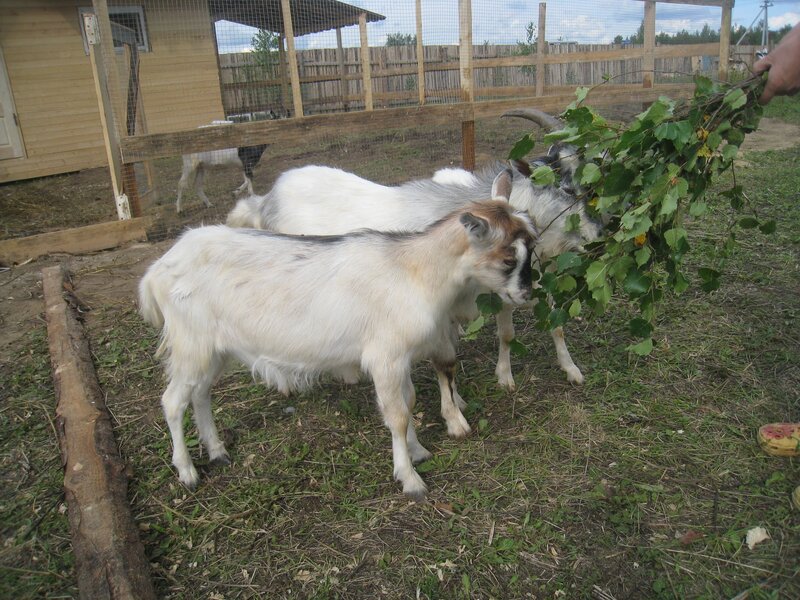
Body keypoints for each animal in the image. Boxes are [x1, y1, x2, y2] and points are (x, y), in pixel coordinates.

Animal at [139, 200, 538, 499]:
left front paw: (419, 452)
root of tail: (156, 271)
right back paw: (188, 471)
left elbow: (407, 403)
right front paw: (410, 479)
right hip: (191, 343)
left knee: (200, 394)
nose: (527, 295)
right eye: (508, 260)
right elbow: (397, 414)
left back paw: (219, 452)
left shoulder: (400, 359)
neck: (414, 271)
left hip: (212, 350)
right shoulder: (385, 357)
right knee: (173, 401)